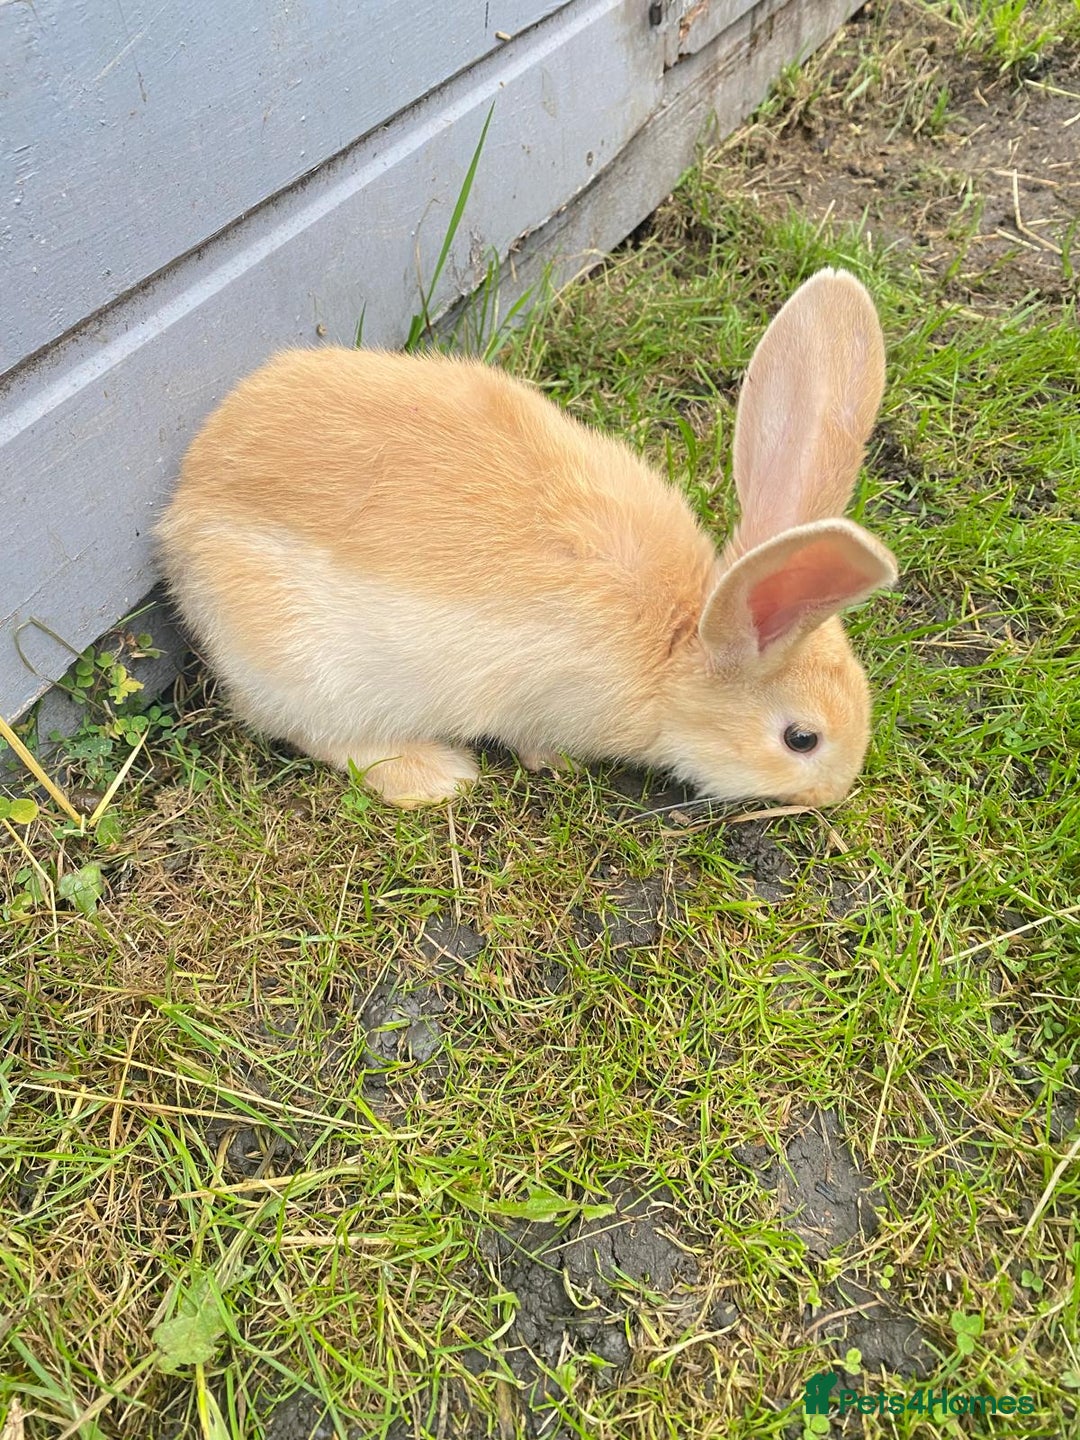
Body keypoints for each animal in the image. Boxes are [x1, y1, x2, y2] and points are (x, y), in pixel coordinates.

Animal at [158, 268, 897, 809]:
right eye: (801, 739)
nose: (836, 792)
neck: (679, 644)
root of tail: (183, 519)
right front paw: (554, 763)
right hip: (311, 669)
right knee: (313, 733)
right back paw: (435, 776)